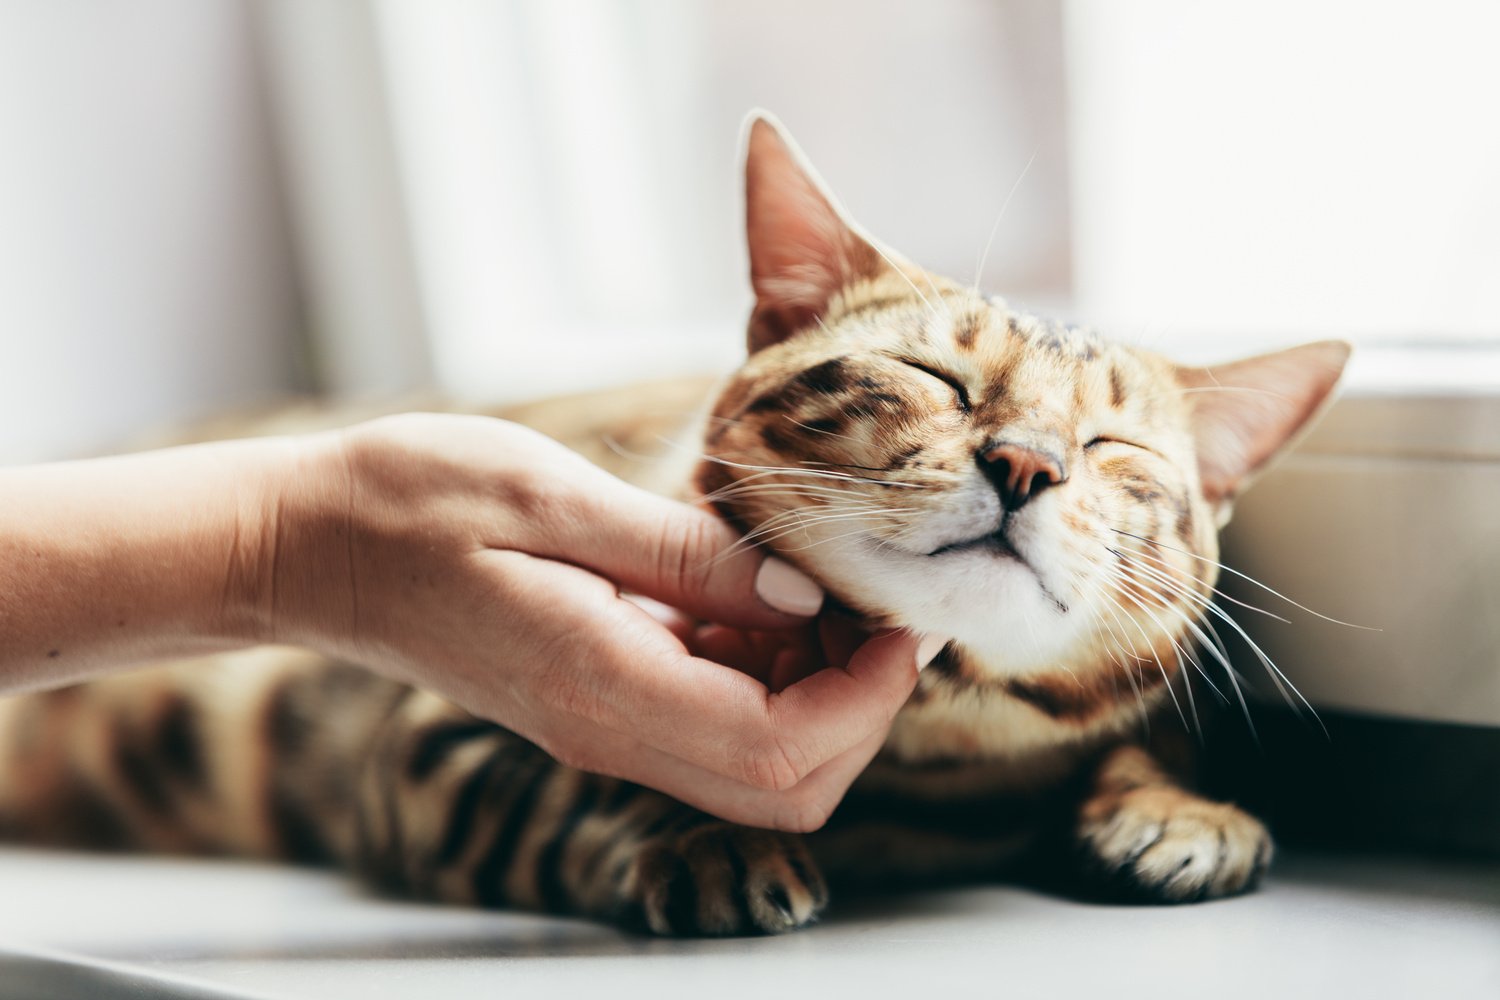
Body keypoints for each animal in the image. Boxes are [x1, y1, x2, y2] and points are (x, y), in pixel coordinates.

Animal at [0, 117, 1350, 941]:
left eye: (1117, 451)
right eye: (936, 378)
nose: (1027, 462)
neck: (925, 758)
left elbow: (1142, 734)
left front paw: (1180, 807)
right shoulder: (427, 737)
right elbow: (564, 793)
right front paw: (702, 835)